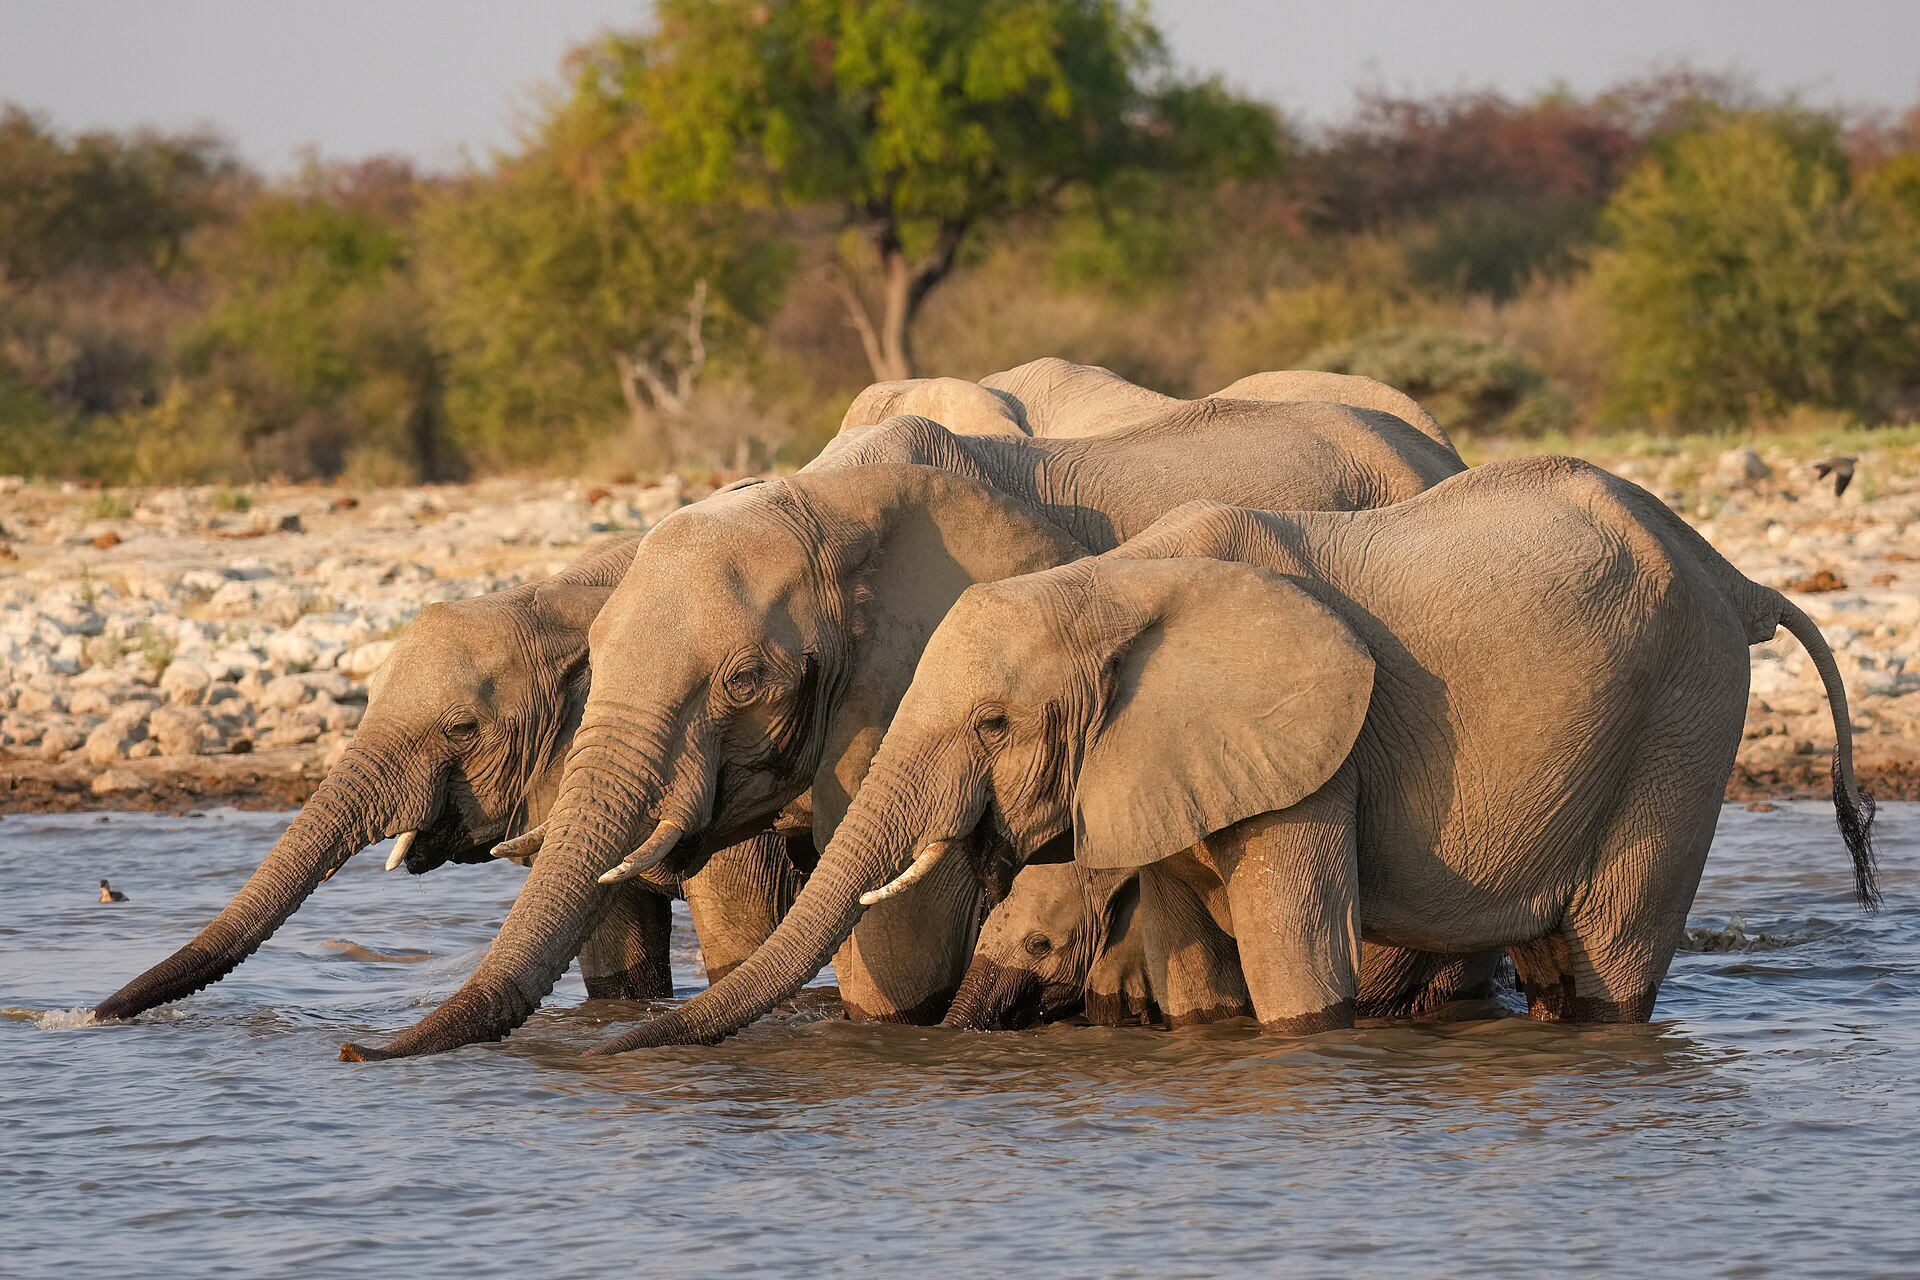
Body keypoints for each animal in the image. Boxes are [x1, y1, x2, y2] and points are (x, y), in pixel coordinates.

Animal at [590, 455, 1876, 1051]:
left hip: (1683, 722)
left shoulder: (1315, 749)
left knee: (1611, 951)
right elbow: (1196, 962)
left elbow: (1297, 954)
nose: (626, 1046)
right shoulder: (1157, 759)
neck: (1112, 583)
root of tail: (1736, 575)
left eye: (996, 724)